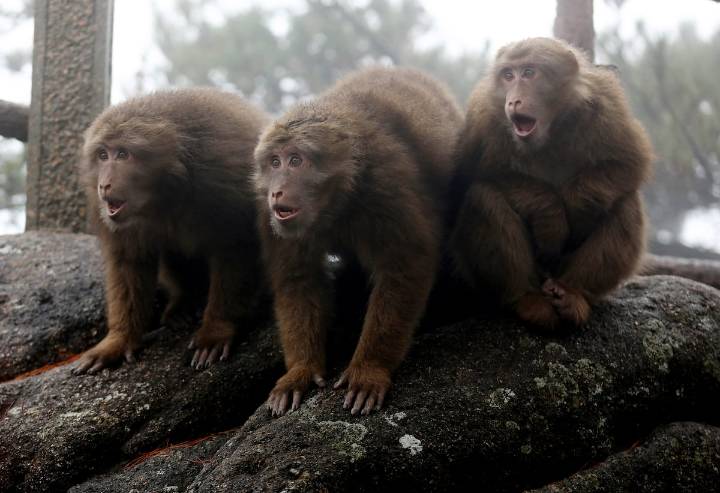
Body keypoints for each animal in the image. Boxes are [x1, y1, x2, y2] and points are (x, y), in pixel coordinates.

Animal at [73, 88, 270, 374]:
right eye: (102, 155)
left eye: (122, 154)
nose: (104, 184)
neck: (164, 194)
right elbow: (129, 262)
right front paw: (119, 340)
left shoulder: (223, 174)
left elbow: (236, 247)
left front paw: (216, 329)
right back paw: (184, 303)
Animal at [254, 67, 464, 416]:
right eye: (274, 162)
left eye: (295, 161)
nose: (277, 191)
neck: (335, 202)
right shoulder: (268, 215)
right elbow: (299, 279)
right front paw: (301, 370)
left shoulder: (386, 185)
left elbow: (405, 265)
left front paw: (370, 368)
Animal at [449, 37, 653, 329]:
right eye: (508, 75)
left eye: (529, 73)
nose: (513, 101)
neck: (550, 133)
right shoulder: (483, 117)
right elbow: (475, 175)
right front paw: (550, 218)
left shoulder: (607, 105)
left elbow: (627, 163)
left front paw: (578, 209)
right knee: (482, 197)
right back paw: (527, 299)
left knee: (626, 203)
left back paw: (572, 294)